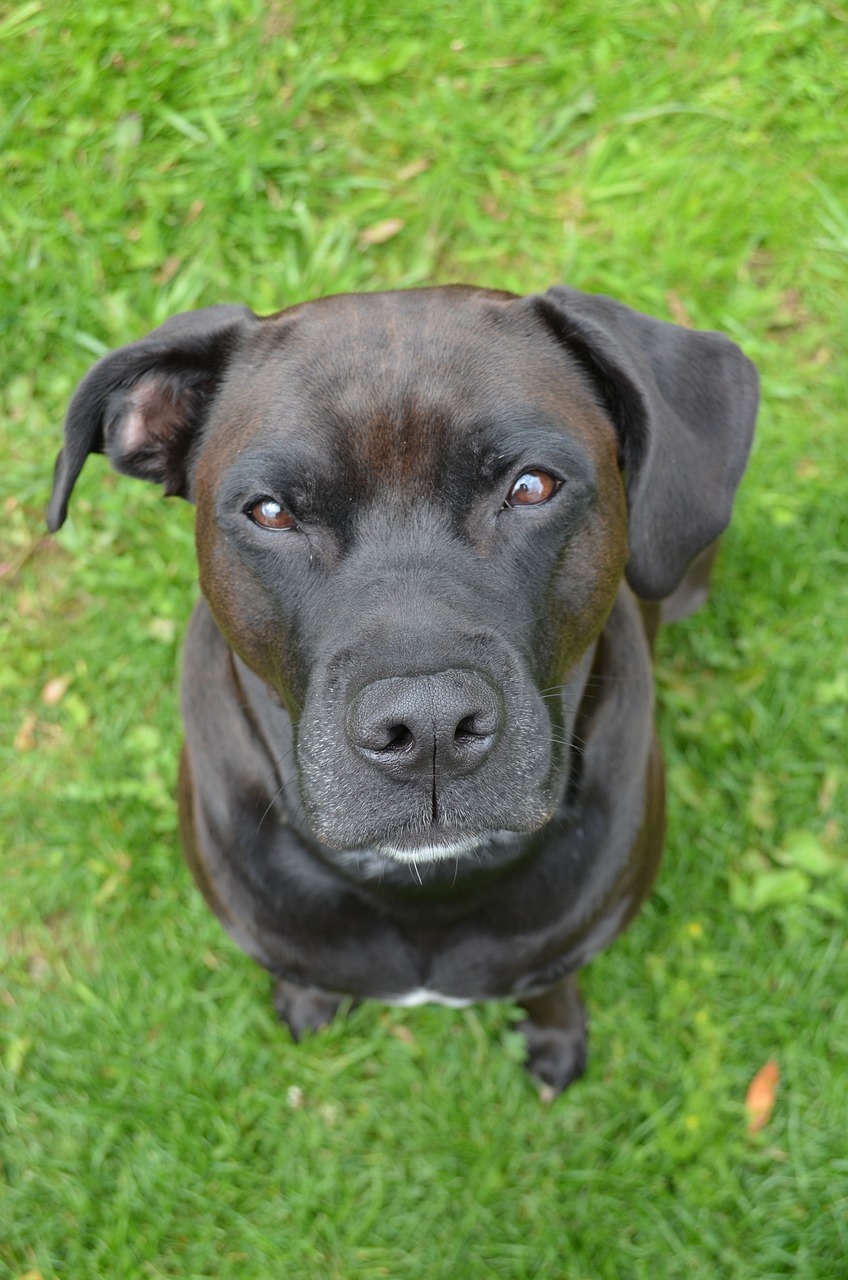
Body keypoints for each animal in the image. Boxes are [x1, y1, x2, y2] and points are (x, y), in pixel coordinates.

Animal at [49, 288, 758, 1100]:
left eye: (532, 486)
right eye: (270, 511)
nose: (428, 728)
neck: (421, 887)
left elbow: (550, 980)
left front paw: (554, 1035)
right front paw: (307, 997)